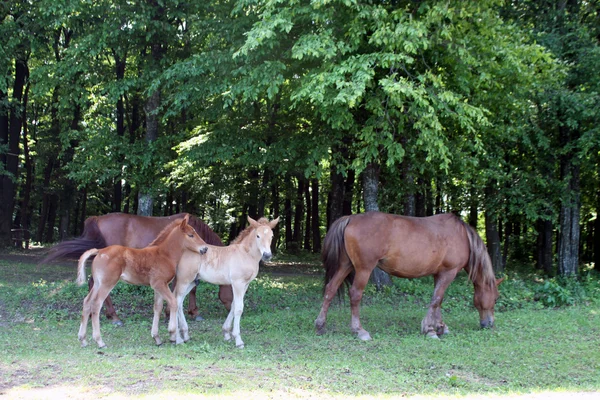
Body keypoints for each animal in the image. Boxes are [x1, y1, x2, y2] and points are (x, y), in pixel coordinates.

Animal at [77, 214, 209, 348]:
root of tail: (99, 251)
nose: (205, 248)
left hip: (98, 284)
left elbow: (158, 307)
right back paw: (100, 341)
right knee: (96, 304)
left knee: (87, 302)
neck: (165, 254)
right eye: (191, 235)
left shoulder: (159, 286)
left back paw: (83, 339)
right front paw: (173, 335)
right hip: (107, 283)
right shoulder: (160, 284)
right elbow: (173, 302)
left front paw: (157, 338)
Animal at [314, 211, 502, 340]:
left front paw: (440, 326)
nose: (489, 324)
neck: (462, 236)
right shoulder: (449, 273)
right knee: (355, 295)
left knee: (330, 289)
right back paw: (359, 330)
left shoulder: (439, 274)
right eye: (496, 298)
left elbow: (438, 301)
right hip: (363, 269)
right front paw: (430, 330)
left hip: (345, 265)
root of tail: (350, 218)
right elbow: (436, 300)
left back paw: (320, 325)